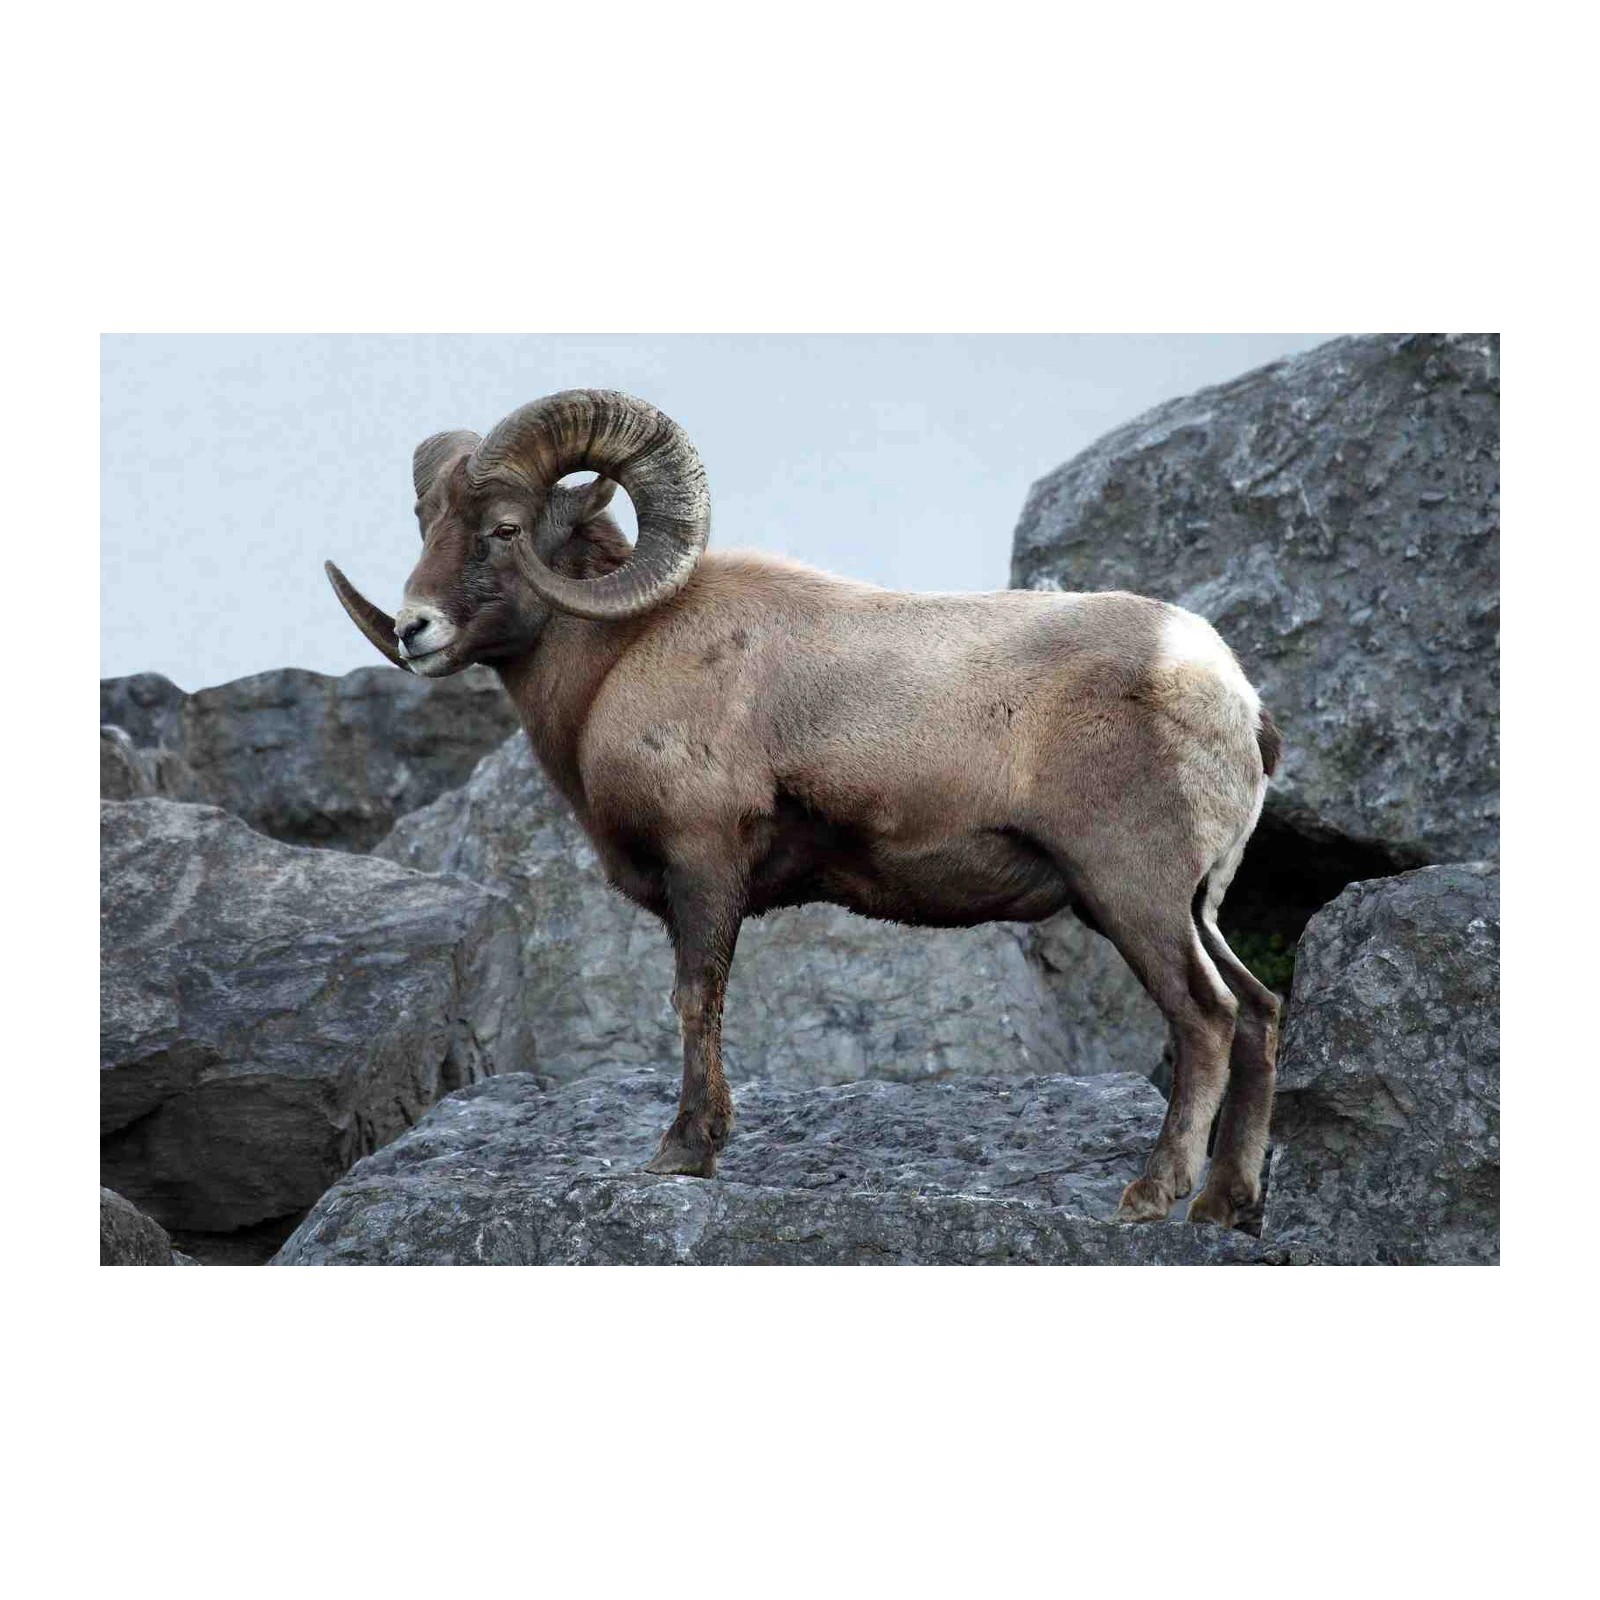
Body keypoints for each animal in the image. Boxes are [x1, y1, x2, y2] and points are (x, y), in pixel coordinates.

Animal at [327, 389, 1281, 1228]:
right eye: (428, 525)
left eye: (505, 529)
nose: (415, 629)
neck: (620, 659)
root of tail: (1227, 690)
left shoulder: (705, 864)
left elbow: (696, 999)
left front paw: (683, 1153)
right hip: (1193, 908)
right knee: (1260, 1013)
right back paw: (1224, 1206)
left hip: (1133, 897)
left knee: (1208, 1020)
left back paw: (1150, 1197)